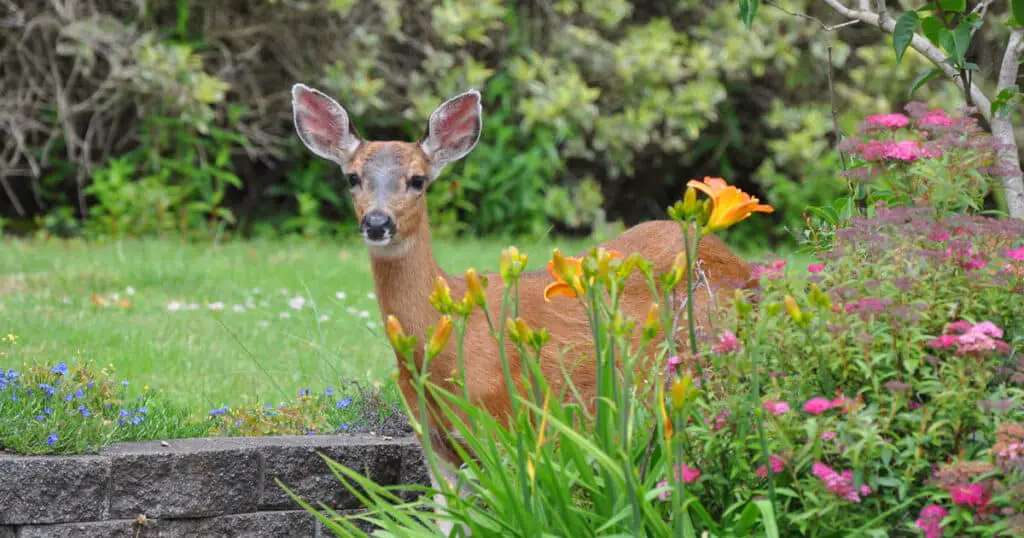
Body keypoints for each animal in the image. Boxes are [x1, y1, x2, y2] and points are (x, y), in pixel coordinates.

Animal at [292, 84, 757, 532]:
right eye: (352, 177)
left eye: (418, 180)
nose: (376, 223)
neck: (440, 350)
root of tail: (740, 264)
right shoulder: (434, 441)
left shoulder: (505, 417)